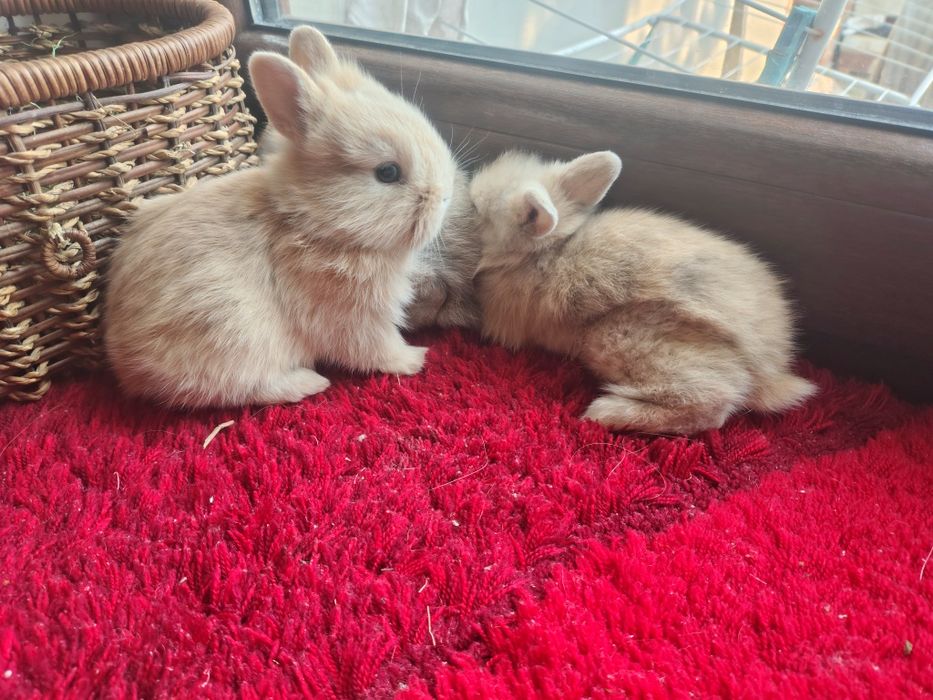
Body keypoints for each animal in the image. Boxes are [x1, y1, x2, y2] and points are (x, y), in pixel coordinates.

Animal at [103, 26, 457, 408]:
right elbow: (375, 349)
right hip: (237, 333)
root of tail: (124, 366)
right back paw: (309, 382)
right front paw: (415, 358)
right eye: (388, 172)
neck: (313, 221)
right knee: (243, 386)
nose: (445, 196)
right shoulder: (357, 319)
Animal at [469, 150, 816, 435]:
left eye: (477, 211)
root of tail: (771, 367)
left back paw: (605, 411)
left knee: (714, 403)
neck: (547, 250)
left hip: (615, 338)